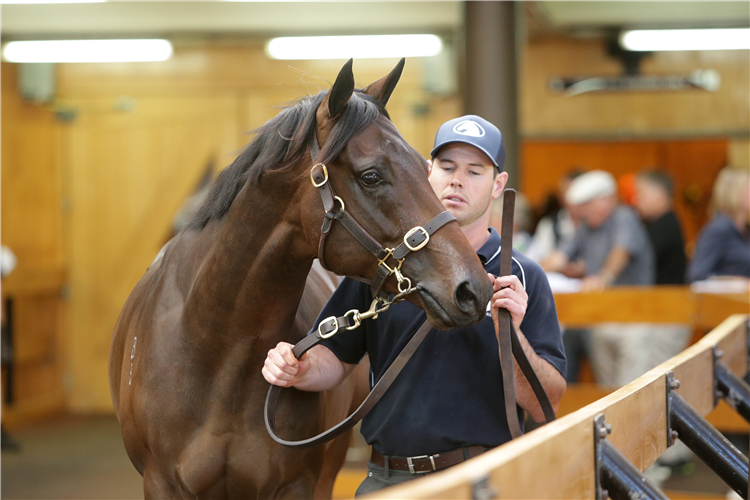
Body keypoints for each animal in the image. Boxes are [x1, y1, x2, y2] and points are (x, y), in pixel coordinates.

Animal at [108, 59, 490, 500]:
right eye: (371, 176)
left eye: (425, 166)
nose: (473, 288)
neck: (217, 349)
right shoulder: (163, 484)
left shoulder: (298, 484)